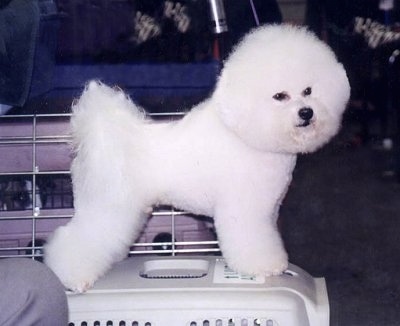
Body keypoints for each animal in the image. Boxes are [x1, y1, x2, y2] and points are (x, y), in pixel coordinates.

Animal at [44, 24, 350, 292]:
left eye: (308, 91)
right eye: (280, 96)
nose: (307, 112)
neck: (247, 135)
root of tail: (101, 136)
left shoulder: (268, 209)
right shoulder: (245, 210)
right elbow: (251, 240)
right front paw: (262, 266)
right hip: (108, 205)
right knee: (78, 237)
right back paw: (72, 277)